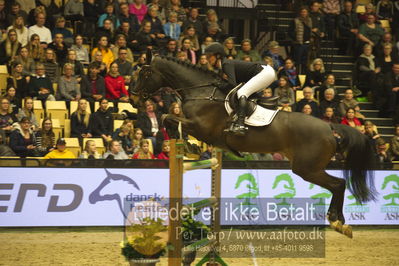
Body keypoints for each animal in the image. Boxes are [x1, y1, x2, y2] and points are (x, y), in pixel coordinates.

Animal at [135, 55, 378, 237]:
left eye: (145, 74)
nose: (136, 97)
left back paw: (338, 222)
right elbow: (168, 117)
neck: (201, 92)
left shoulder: (200, 127)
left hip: (307, 168)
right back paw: (340, 223)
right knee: (339, 184)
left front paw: (185, 144)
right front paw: (188, 146)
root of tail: (329, 127)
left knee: (338, 184)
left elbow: (167, 117)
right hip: (308, 167)